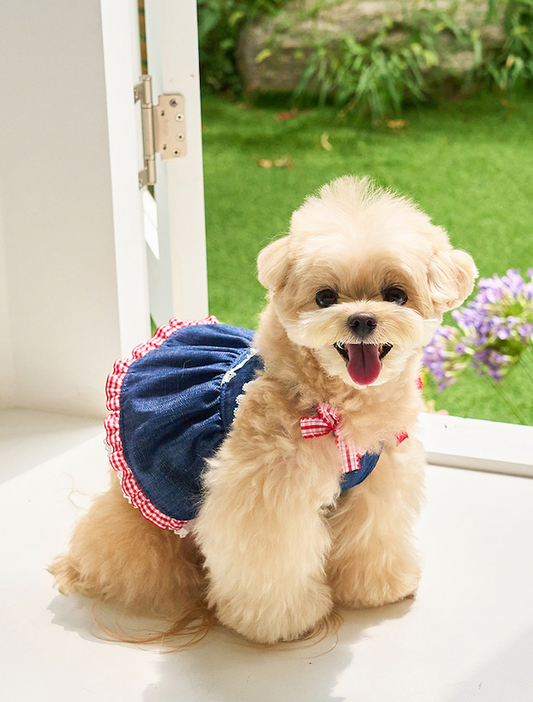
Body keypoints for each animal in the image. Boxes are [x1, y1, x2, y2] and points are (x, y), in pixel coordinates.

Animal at [48, 176, 474, 644]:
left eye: (396, 295)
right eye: (325, 297)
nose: (362, 319)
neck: (333, 408)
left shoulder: (375, 487)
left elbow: (371, 538)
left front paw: (378, 588)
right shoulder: (267, 500)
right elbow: (273, 564)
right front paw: (284, 624)